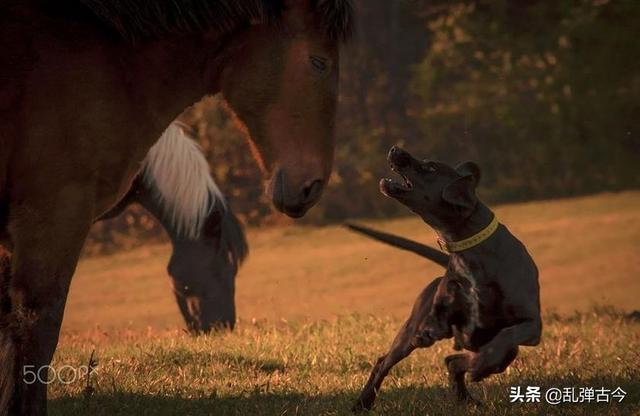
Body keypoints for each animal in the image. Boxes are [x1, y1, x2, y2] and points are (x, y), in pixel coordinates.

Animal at [350, 147, 540, 410]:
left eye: (431, 167)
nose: (396, 149)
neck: (471, 253)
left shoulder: (532, 324)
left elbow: (507, 336)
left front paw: (481, 366)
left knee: (461, 361)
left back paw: (467, 395)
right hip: (409, 333)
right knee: (384, 362)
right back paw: (363, 402)